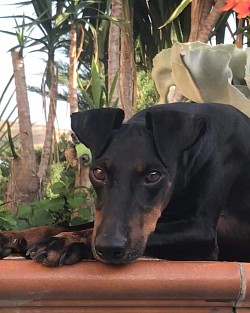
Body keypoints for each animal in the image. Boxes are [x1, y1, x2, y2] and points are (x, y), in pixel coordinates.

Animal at [0, 100, 250, 266]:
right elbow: (66, 225)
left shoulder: (201, 232)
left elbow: (87, 231)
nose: (110, 248)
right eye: (98, 172)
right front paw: (15, 236)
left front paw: (63, 243)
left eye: (153, 176)